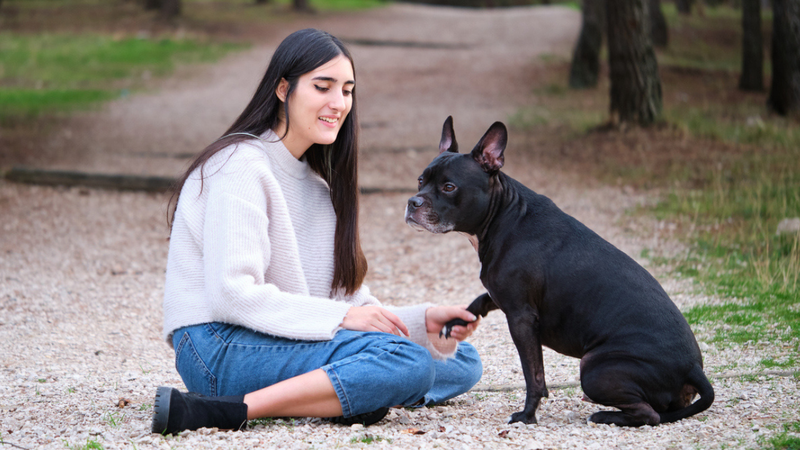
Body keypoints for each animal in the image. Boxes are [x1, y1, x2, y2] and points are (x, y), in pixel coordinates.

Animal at [406, 116, 712, 426]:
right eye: (421, 180)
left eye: (449, 187)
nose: (412, 202)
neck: (504, 214)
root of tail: (694, 368)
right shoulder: (505, 296)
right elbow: (481, 300)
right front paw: (459, 319)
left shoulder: (521, 318)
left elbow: (534, 375)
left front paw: (527, 415)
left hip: (594, 368)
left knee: (650, 415)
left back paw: (604, 415)